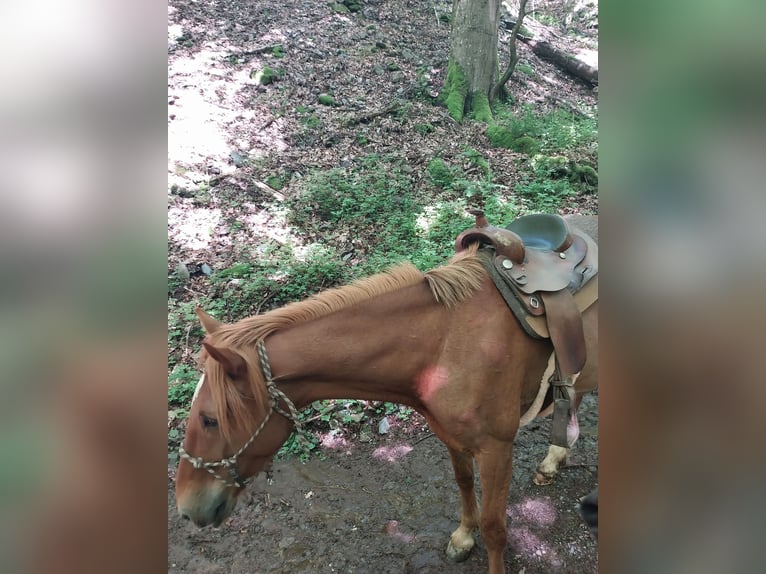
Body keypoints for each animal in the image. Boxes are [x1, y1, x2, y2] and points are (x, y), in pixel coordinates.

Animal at [176, 217, 600, 574]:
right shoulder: (452, 437)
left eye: (209, 419)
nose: (185, 508)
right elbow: (464, 484)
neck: (445, 343)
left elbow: (496, 528)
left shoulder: (497, 449)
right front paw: (464, 537)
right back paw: (554, 460)